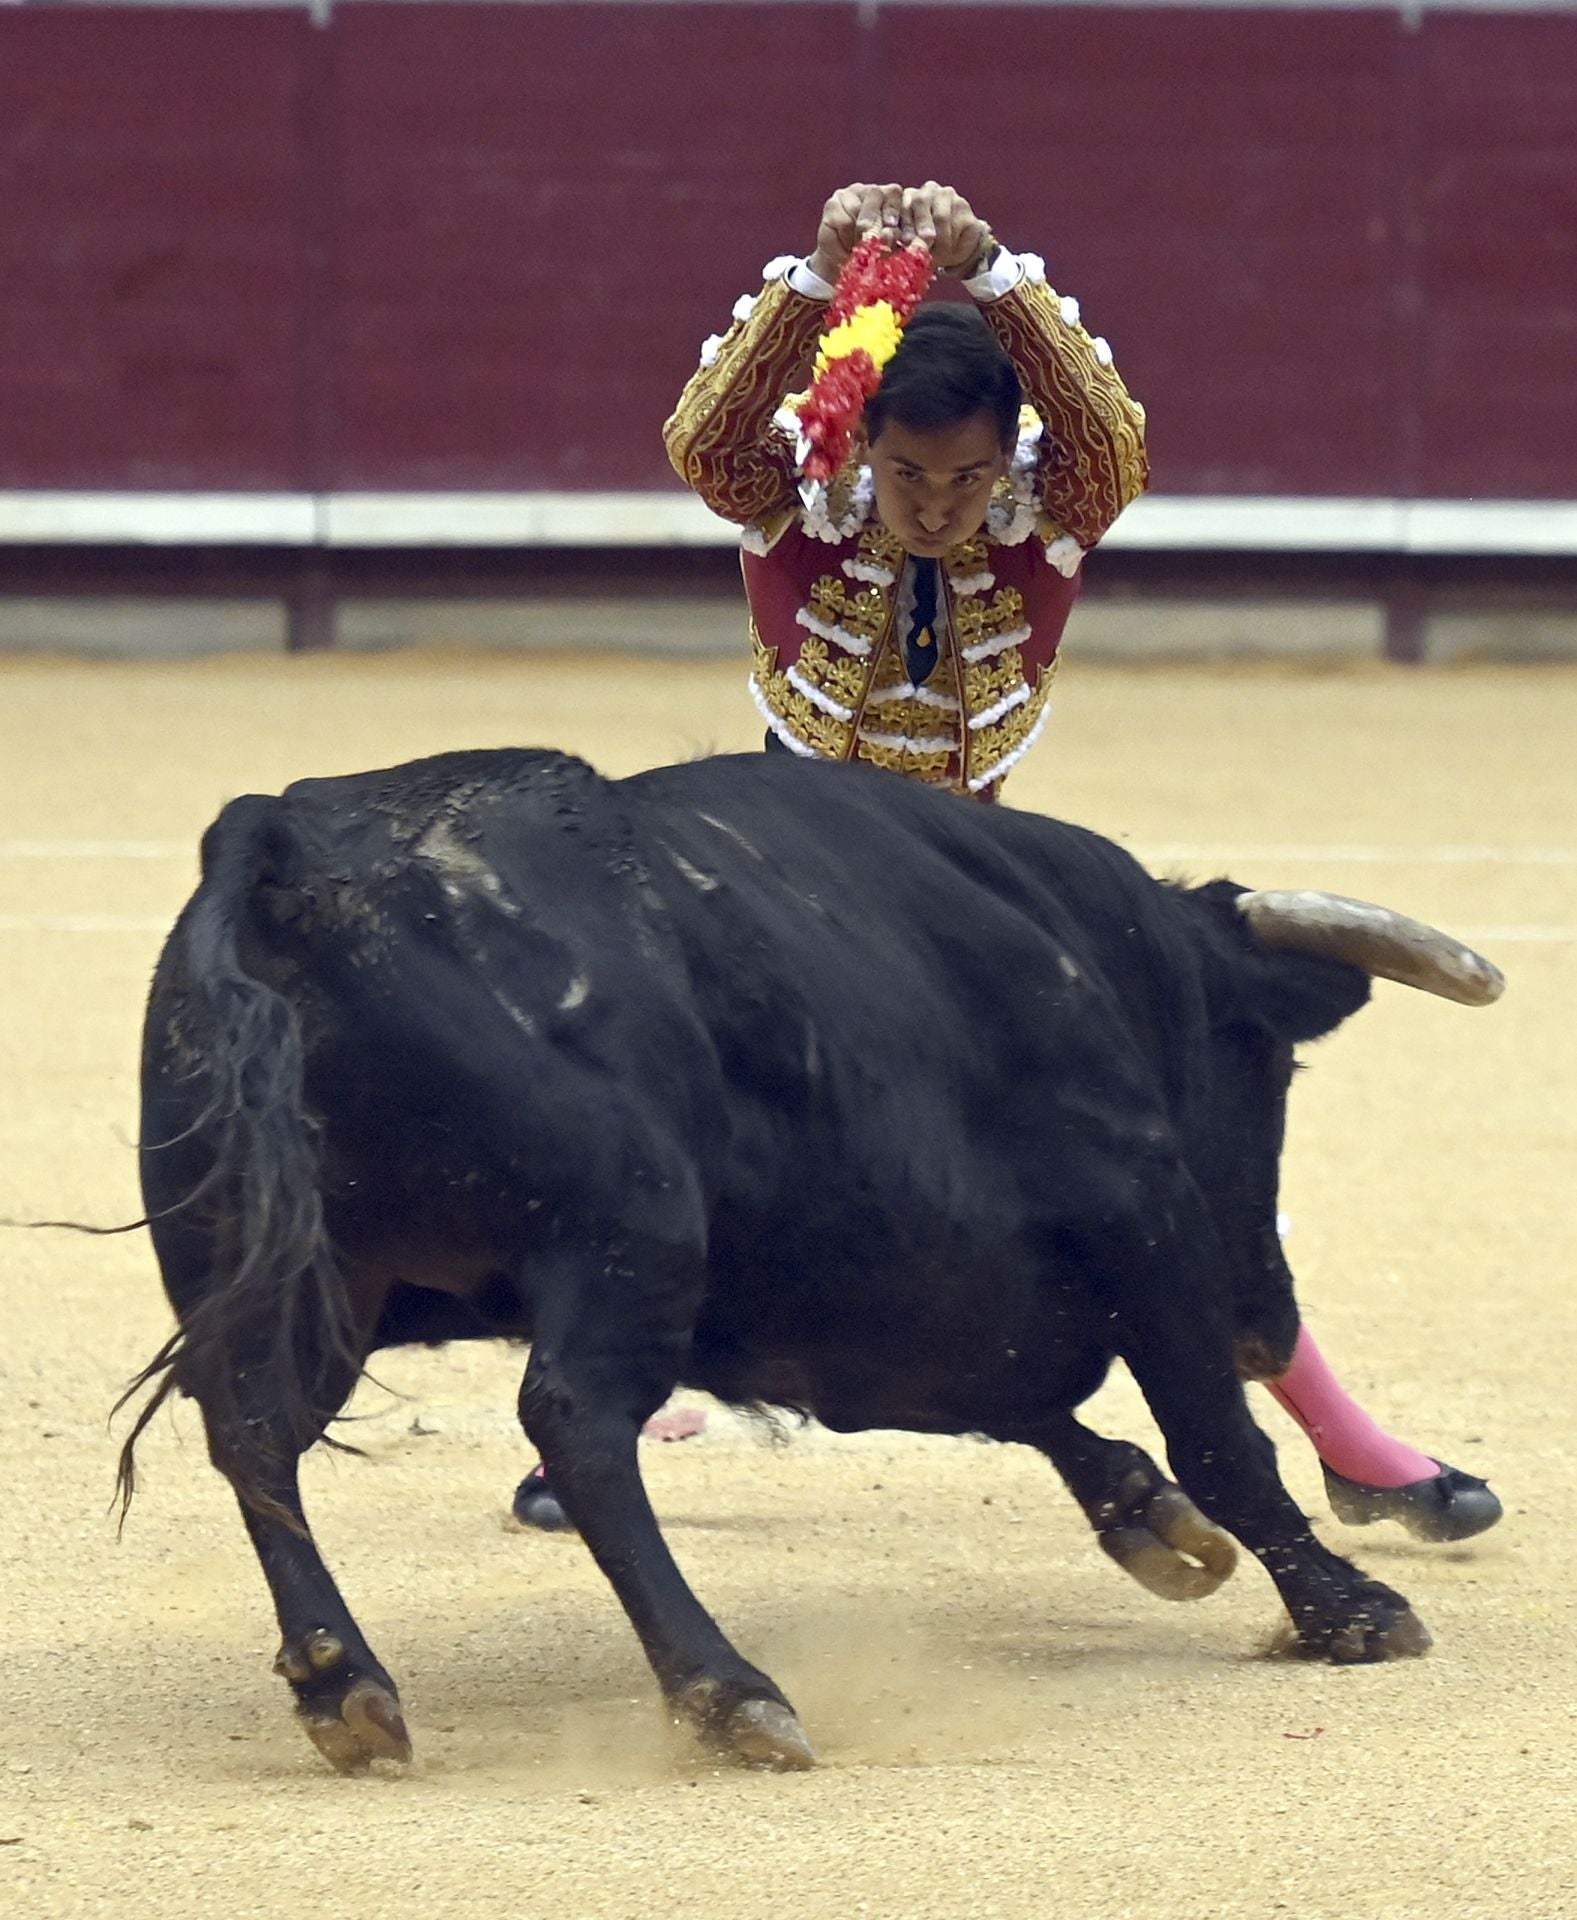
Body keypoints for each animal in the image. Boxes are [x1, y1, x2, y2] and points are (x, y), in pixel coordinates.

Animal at [116, 744, 1498, 1766]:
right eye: (1265, 1066)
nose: (1265, 1320)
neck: (1096, 956)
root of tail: (285, 846)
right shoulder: (1139, 1213)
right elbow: (1218, 1438)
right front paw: (1346, 1609)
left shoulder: (863, 1300)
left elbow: (1032, 1402)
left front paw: (1147, 1518)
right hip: (626, 1236)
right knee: (572, 1422)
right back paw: (727, 1690)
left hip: (298, 1280)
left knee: (252, 1432)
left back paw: (343, 1686)